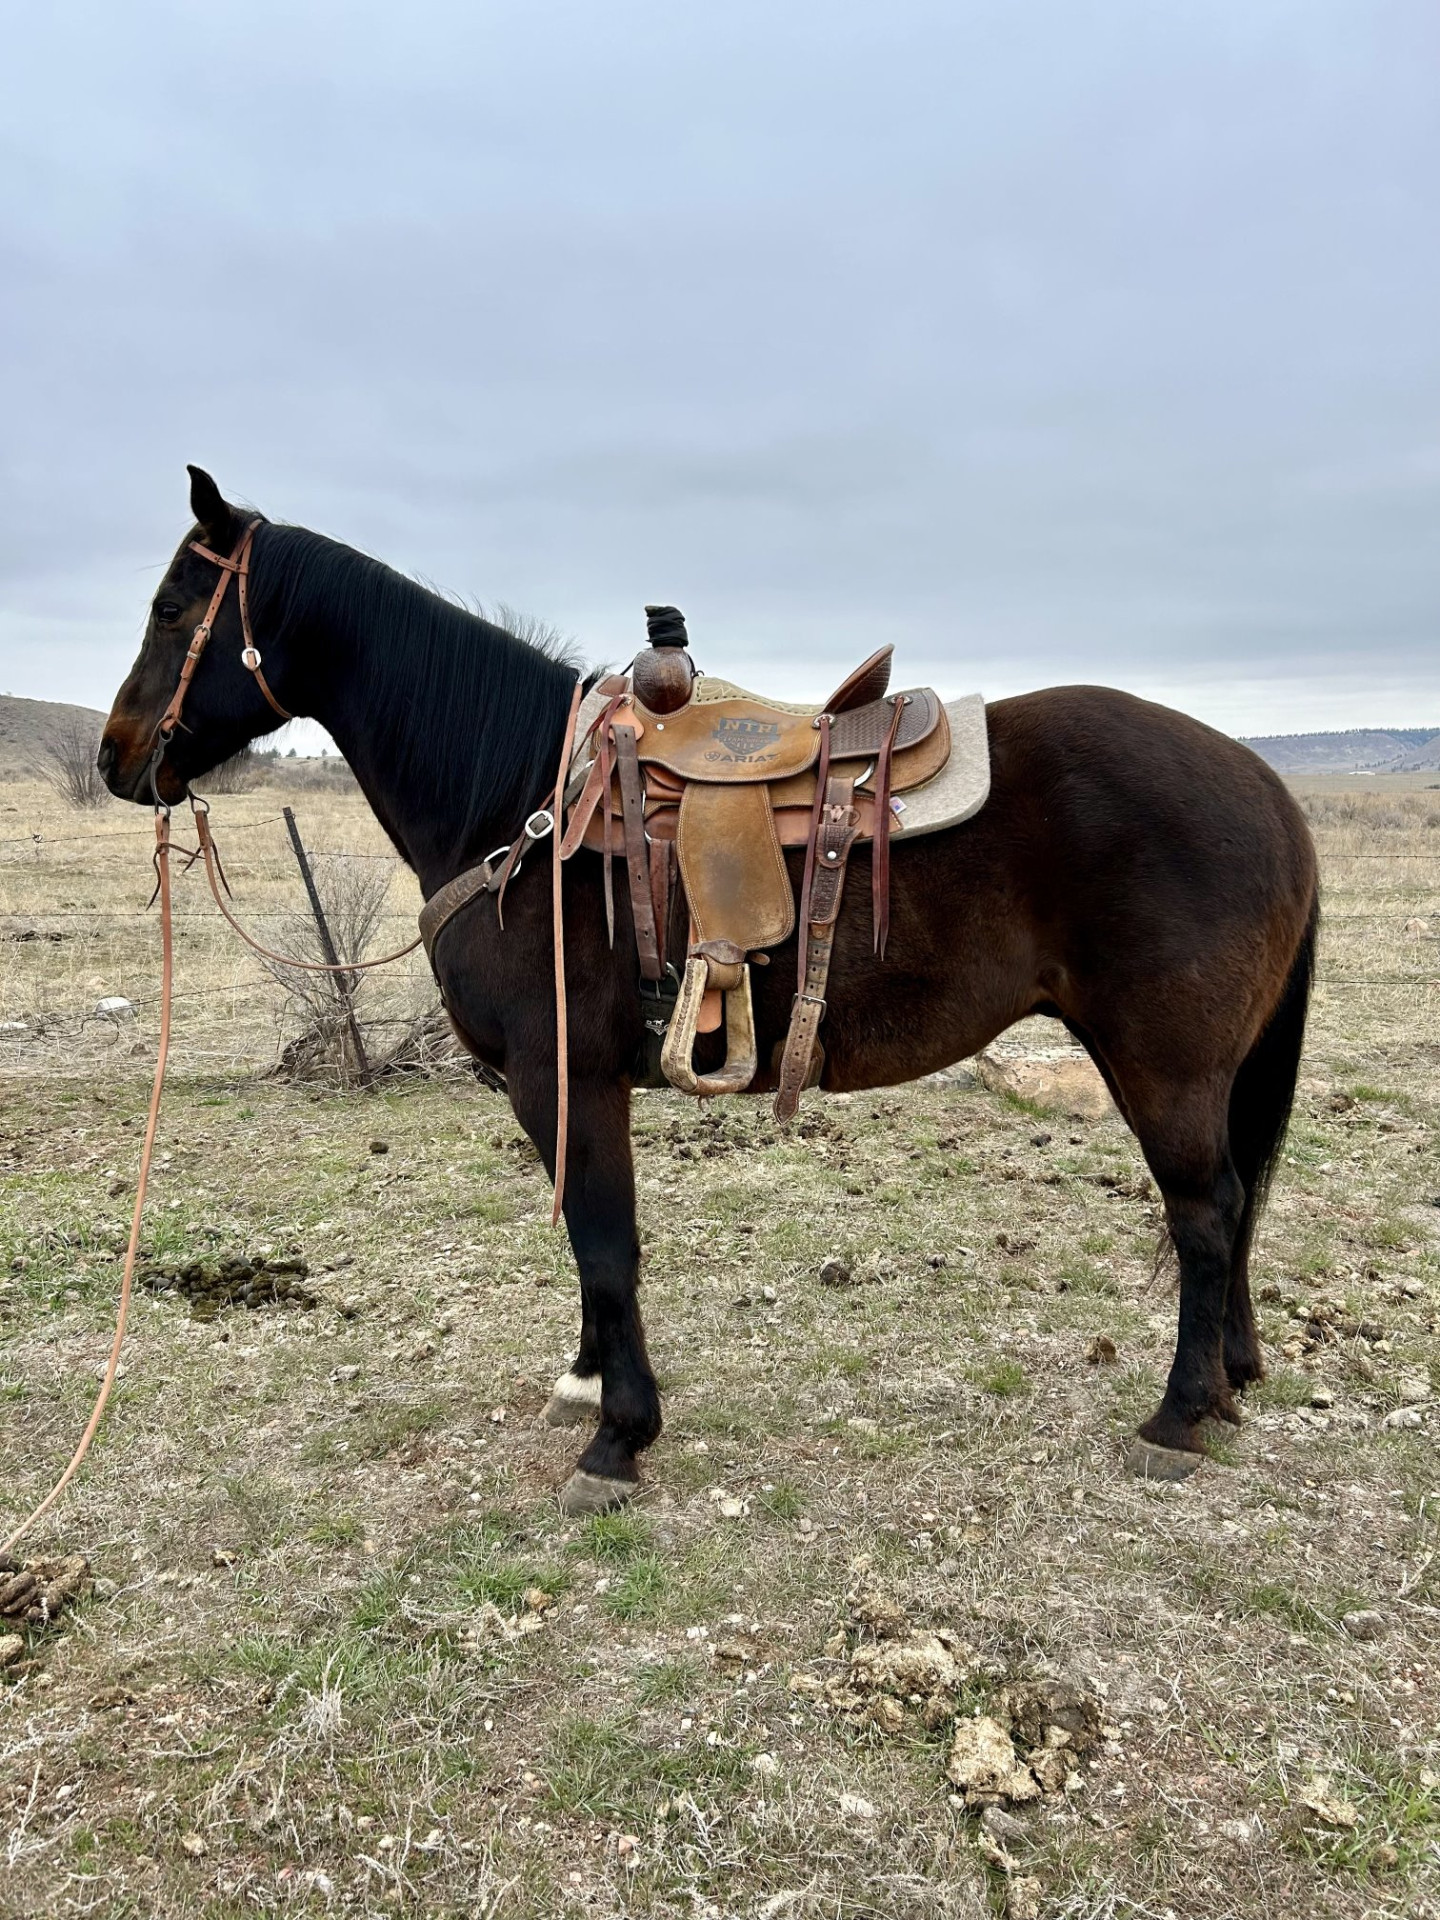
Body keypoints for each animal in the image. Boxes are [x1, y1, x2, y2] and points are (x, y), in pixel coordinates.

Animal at [101, 468, 1320, 1512]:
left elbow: (604, 1240)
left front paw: (618, 1437)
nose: (118, 761)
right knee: (1234, 1205)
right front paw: (588, 1380)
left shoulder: (564, 1075)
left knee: (1207, 1211)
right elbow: (589, 1239)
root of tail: (1266, 785)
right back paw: (1231, 1378)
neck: (521, 802)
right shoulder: (558, 1086)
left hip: (1162, 1065)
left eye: (169, 607)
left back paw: (1177, 1417)